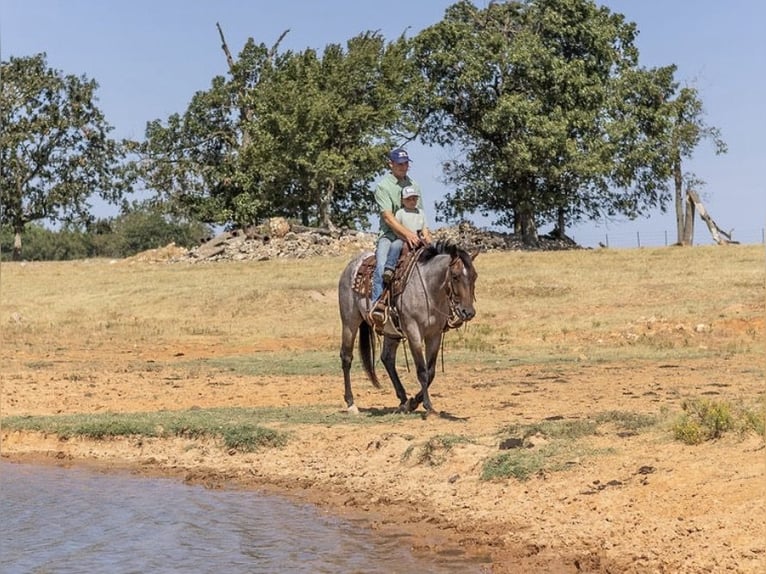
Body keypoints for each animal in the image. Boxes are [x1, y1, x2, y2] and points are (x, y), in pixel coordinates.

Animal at [338, 240, 479, 416]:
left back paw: (403, 400)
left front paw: (413, 403)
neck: (428, 289)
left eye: (474, 276)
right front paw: (428, 406)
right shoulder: (414, 332)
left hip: (391, 332)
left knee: (387, 358)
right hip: (349, 322)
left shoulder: (434, 335)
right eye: (455, 276)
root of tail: (352, 266)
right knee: (346, 357)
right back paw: (351, 403)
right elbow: (422, 371)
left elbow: (431, 372)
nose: (468, 312)